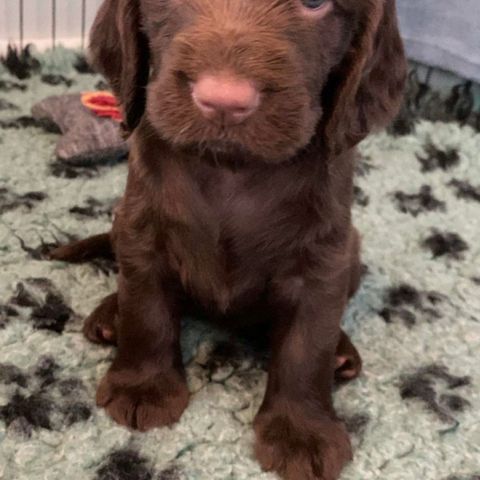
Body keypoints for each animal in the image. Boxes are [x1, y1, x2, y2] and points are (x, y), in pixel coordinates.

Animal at [51, 1, 404, 478]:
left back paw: (341, 352)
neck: (230, 167)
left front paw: (302, 432)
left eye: (315, 4)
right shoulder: (143, 231)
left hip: (353, 251)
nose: (223, 101)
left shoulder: (323, 260)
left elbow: (307, 346)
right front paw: (143, 387)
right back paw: (110, 314)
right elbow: (146, 310)